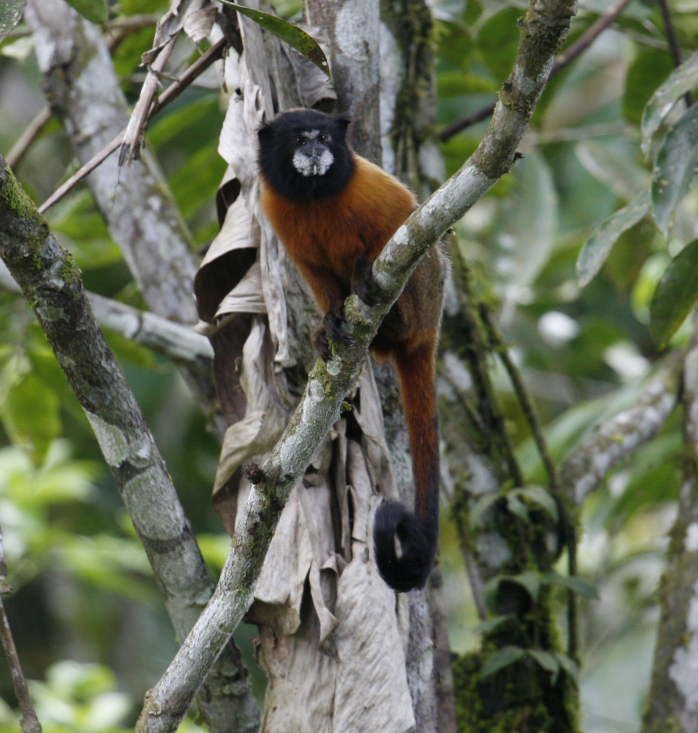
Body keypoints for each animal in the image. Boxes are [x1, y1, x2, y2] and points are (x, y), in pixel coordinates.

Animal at [258, 108, 444, 592]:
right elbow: (316, 272)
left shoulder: (372, 185)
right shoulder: (276, 210)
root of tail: (428, 335)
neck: (314, 196)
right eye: (298, 140)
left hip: (427, 300)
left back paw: (388, 311)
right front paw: (328, 324)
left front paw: (362, 272)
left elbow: (406, 225)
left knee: (420, 260)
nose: (313, 150)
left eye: (323, 137)